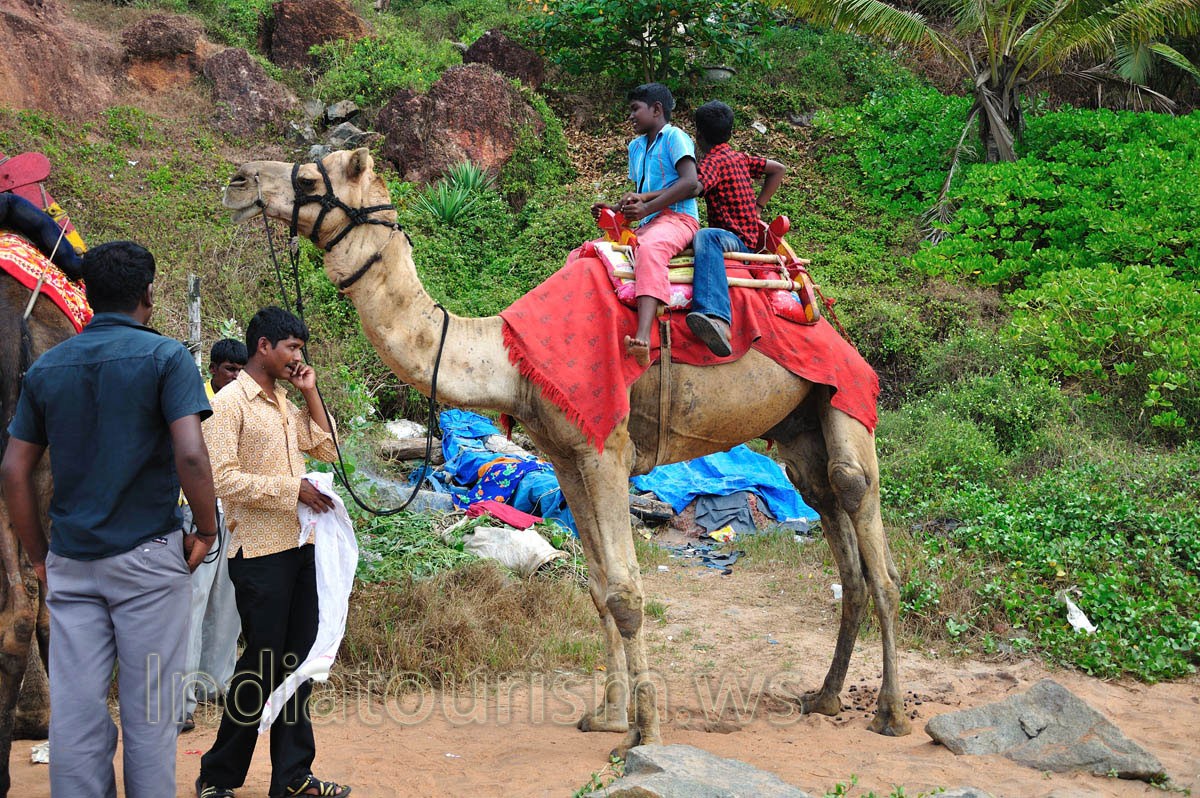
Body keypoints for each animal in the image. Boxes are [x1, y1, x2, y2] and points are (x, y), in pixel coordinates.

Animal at [222, 148, 912, 753]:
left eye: (310, 179)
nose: (237, 180)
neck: (509, 359)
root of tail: (813, 299)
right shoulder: (566, 456)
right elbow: (600, 589)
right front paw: (607, 716)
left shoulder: (607, 450)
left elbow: (628, 592)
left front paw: (644, 734)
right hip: (797, 426)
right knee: (831, 516)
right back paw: (825, 697)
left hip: (842, 391)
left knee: (864, 517)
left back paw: (891, 714)